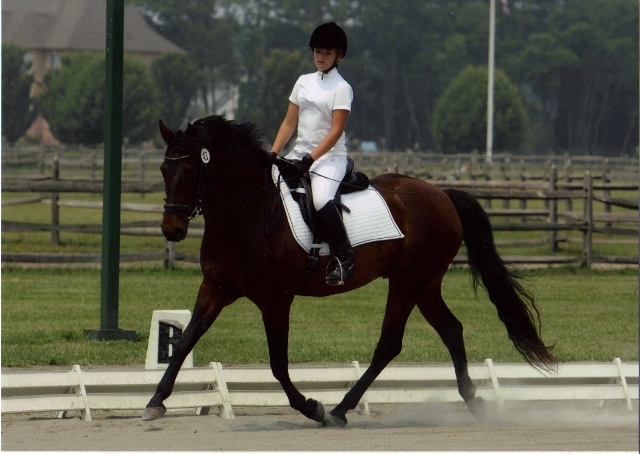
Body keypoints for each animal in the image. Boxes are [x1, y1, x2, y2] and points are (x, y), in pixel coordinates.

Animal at [143, 115, 556, 427]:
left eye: (191, 169)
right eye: (163, 168)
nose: (171, 229)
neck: (247, 214)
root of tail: (442, 194)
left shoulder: (275, 300)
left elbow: (278, 364)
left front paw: (312, 407)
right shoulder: (215, 288)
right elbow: (184, 340)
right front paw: (155, 402)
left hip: (407, 282)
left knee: (389, 344)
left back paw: (339, 410)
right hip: (425, 285)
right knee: (452, 330)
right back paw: (473, 400)